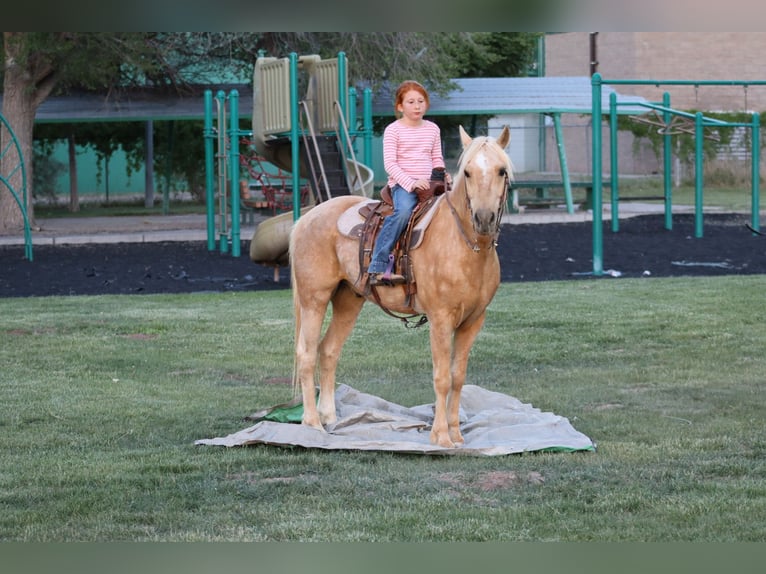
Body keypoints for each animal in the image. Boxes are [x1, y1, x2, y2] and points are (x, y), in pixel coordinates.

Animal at [288, 125, 512, 448]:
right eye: (468, 172)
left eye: (501, 171)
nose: (483, 218)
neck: (465, 245)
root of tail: (306, 218)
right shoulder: (440, 319)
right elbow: (442, 377)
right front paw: (441, 437)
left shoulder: (473, 321)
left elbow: (458, 376)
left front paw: (457, 435)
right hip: (313, 300)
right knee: (306, 354)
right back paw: (312, 424)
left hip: (348, 299)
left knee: (328, 350)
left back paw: (329, 418)